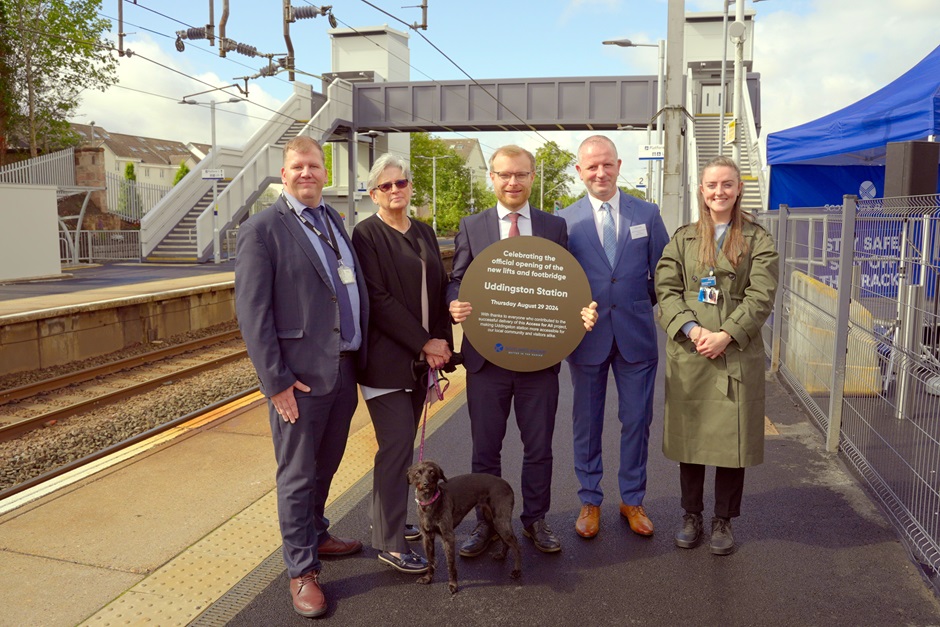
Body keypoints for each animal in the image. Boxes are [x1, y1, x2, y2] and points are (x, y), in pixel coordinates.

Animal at [406, 458, 520, 592]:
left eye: (432, 472)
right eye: (417, 473)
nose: (426, 484)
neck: (430, 502)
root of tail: (507, 484)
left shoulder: (448, 537)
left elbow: (450, 563)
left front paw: (453, 584)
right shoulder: (427, 537)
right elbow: (430, 560)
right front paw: (428, 578)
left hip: (500, 521)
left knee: (516, 545)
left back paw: (517, 571)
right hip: (493, 520)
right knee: (505, 541)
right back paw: (502, 555)